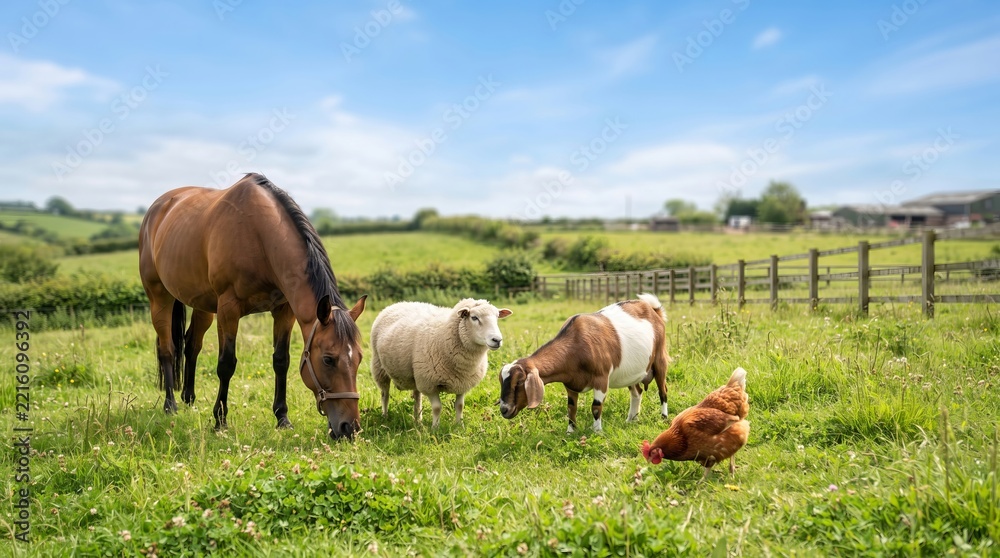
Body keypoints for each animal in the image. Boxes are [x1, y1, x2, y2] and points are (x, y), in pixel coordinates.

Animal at [138, 173, 367, 440]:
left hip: (202, 305)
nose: (349, 428)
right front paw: (220, 421)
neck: (258, 235)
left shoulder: (284, 310)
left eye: (359, 357)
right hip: (159, 297)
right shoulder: (228, 309)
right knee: (168, 349)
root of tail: (157, 208)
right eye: (329, 359)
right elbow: (226, 364)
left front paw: (282, 417)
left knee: (191, 345)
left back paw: (189, 398)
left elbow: (281, 360)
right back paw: (170, 405)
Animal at [371, 298, 512, 428]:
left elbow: (460, 406)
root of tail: (398, 303)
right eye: (474, 317)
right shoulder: (429, 383)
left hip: (416, 374)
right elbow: (437, 407)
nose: (497, 340)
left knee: (417, 397)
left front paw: (459, 425)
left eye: (497, 317)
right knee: (385, 394)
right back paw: (385, 416)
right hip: (379, 367)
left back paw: (418, 420)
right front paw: (435, 428)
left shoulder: (462, 382)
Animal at [497, 293, 669, 434]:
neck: (576, 344)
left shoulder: (601, 378)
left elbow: (596, 407)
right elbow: (571, 407)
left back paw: (664, 417)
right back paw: (631, 419)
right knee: (637, 392)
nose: (504, 409)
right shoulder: (570, 383)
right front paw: (570, 431)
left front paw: (597, 431)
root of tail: (654, 310)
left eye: (519, 382)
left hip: (660, 359)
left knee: (663, 390)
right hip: (632, 372)